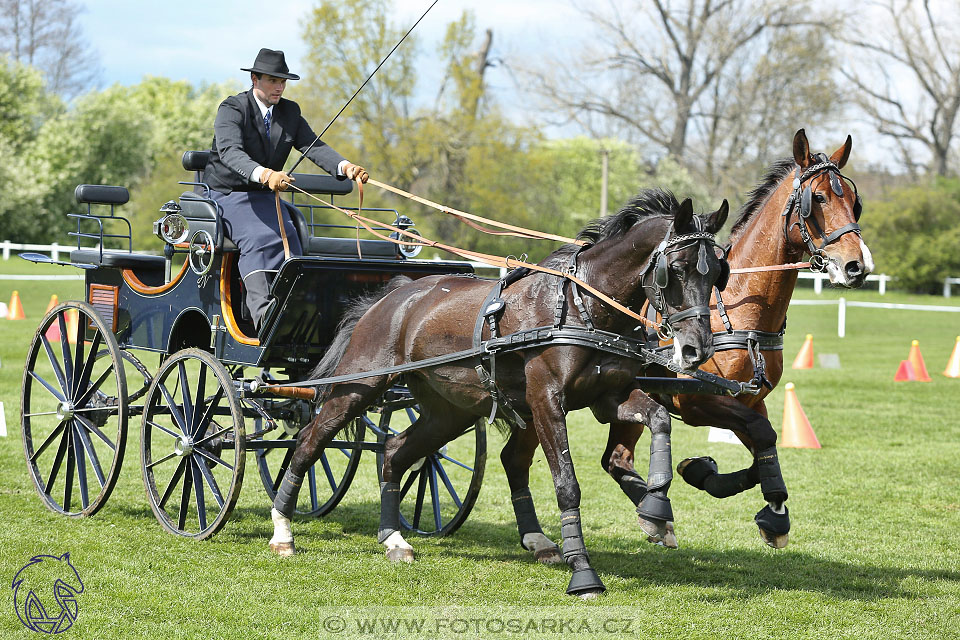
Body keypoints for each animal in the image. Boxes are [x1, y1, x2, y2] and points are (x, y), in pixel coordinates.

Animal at [266, 189, 724, 596]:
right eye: (676, 269)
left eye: (718, 272)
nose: (696, 349)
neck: (581, 307)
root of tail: (396, 292)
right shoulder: (547, 401)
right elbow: (567, 484)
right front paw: (583, 573)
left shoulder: (608, 397)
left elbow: (660, 419)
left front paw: (655, 510)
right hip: (357, 387)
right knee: (310, 442)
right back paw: (283, 529)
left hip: (448, 412)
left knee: (395, 452)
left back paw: (393, 537)